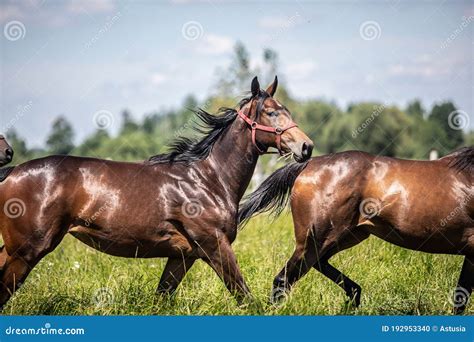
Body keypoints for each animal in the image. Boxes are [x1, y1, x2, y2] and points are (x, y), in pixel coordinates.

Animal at [0, 77, 314, 308]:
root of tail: (12, 172)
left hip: (16, 251)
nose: (306, 147)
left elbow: (161, 298)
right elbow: (246, 298)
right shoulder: (215, 245)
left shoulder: (182, 256)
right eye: (271, 112)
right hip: (27, 252)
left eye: (287, 111)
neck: (207, 179)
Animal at [241, 147, 474, 312]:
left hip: (347, 235)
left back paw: (355, 295)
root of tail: (308, 164)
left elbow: (461, 297)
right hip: (316, 239)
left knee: (318, 264)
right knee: (284, 279)